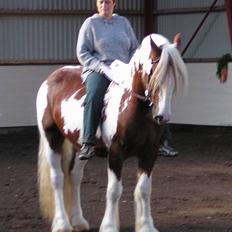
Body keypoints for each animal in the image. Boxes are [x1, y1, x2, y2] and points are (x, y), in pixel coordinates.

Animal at [36, 33, 188, 232]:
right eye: (154, 73)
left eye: (175, 77)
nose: (163, 116)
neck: (134, 108)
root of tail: (50, 79)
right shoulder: (116, 153)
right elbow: (114, 191)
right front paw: (109, 225)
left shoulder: (149, 153)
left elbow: (144, 190)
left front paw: (146, 225)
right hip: (52, 138)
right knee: (57, 178)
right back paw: (62, 224)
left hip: (79, 146)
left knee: (75, 176)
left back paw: (78, 221)